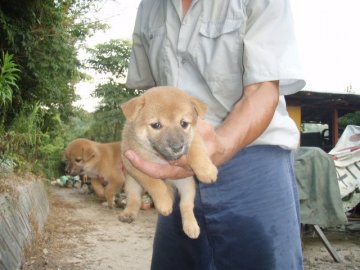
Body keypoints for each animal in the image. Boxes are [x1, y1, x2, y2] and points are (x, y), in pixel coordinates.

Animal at [119, 86, 218, 238]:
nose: (177, 147)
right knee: (134, 199)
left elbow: (197, 151)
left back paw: (191, 226)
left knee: (186, 205)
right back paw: (128, 214)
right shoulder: (134, 166)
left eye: (184, 123)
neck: (160, 157)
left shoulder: (193, 138)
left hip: (187, 185)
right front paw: (164, 202)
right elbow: (155, 184)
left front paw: (207, 171)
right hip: (131, 183)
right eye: (156, 125)